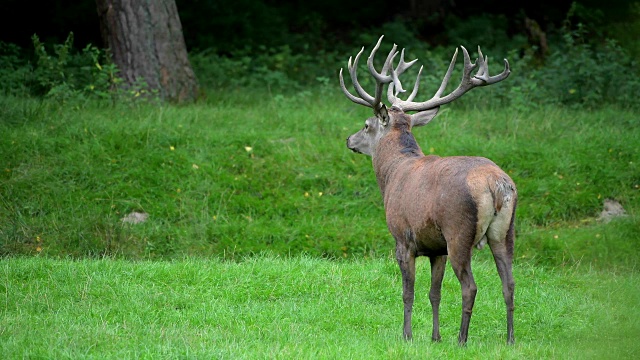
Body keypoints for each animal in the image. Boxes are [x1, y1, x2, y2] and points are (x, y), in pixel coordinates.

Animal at [340, 35, 516, 344]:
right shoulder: (437, 248)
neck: (392, 175)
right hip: (504, 231)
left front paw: (407, 335)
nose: (349, 140)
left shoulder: (403, 238)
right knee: (509, 283)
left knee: (470, 286)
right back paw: (510, 339)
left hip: (459, 231)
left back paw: (462, 339)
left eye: (366, 125)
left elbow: (407, 293)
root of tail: (496, 184)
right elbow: (435, 293)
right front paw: (435, 337)